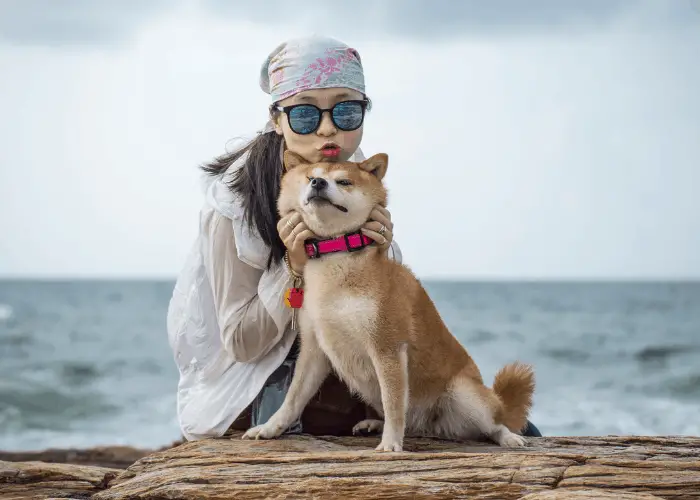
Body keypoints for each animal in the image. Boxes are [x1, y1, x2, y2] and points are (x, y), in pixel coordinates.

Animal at [242, 150, 536, 452]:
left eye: (344, 181)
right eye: (311, 176)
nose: (319, 183)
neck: (337, 257)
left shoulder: (387, 347)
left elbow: (393, 402)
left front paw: (391, 444)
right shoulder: (315, 348)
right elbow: (293, 398)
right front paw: (270, 428)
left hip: (464, 394)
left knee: (493, 424)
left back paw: (508, 436)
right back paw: (374, 424)